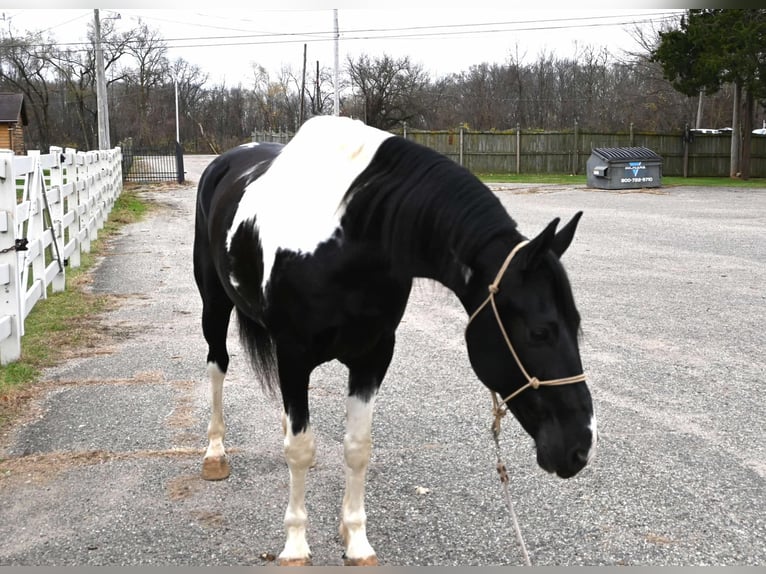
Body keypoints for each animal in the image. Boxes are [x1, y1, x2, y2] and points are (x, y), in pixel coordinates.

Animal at [194, 116, 600, 568]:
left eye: (576, 324)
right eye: (540, 332)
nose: (580, 448)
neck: (347, 239)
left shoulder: (373, 357)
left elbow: (356, 447)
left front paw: (356, 541)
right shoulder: (294, 356)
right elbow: (299, 448)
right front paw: (296, 546)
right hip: (214, 307)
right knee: (217, 366)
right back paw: (215, 454)